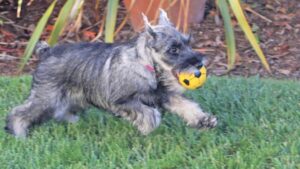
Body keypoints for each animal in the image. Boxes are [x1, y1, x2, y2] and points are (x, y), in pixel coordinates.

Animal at [4, 9, 216, 137]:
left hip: (70, 96)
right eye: (173, 49)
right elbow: (148, 112)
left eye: (188, 42)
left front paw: (203, 120)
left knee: (60, 111)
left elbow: (186, 105)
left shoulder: (162, 95)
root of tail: (46, 52)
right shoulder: (121, 101)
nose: (199, 64)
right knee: (20, 112)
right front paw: (148, 125)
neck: (145, 65)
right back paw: (19, 133)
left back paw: (73, 122)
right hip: (46, 97)